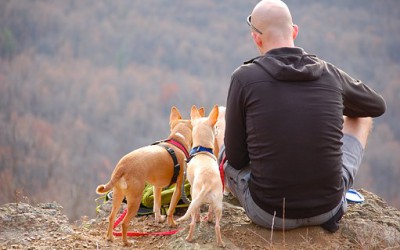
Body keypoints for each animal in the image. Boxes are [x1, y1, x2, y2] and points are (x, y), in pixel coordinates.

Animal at [95, 106, 192, 247]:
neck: (177, 141)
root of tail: (122, 167)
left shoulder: (157, 187)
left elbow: (157, 205)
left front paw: (159, 219)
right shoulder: (179, 187)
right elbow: (171, 209)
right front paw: (172, 223)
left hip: (118, 195)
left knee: (111, 217)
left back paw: (110, 238)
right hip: (135, 200)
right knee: (124, 223)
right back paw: (126, 242)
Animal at [177, 104, 227, 247]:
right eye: (216, 126)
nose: (218, 130)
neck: (202, 149)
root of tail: (207, 184)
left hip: (195, 199)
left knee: (193, 221)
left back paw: (189, 238)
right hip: (218, 204)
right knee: (217, 225)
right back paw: (220, 242)